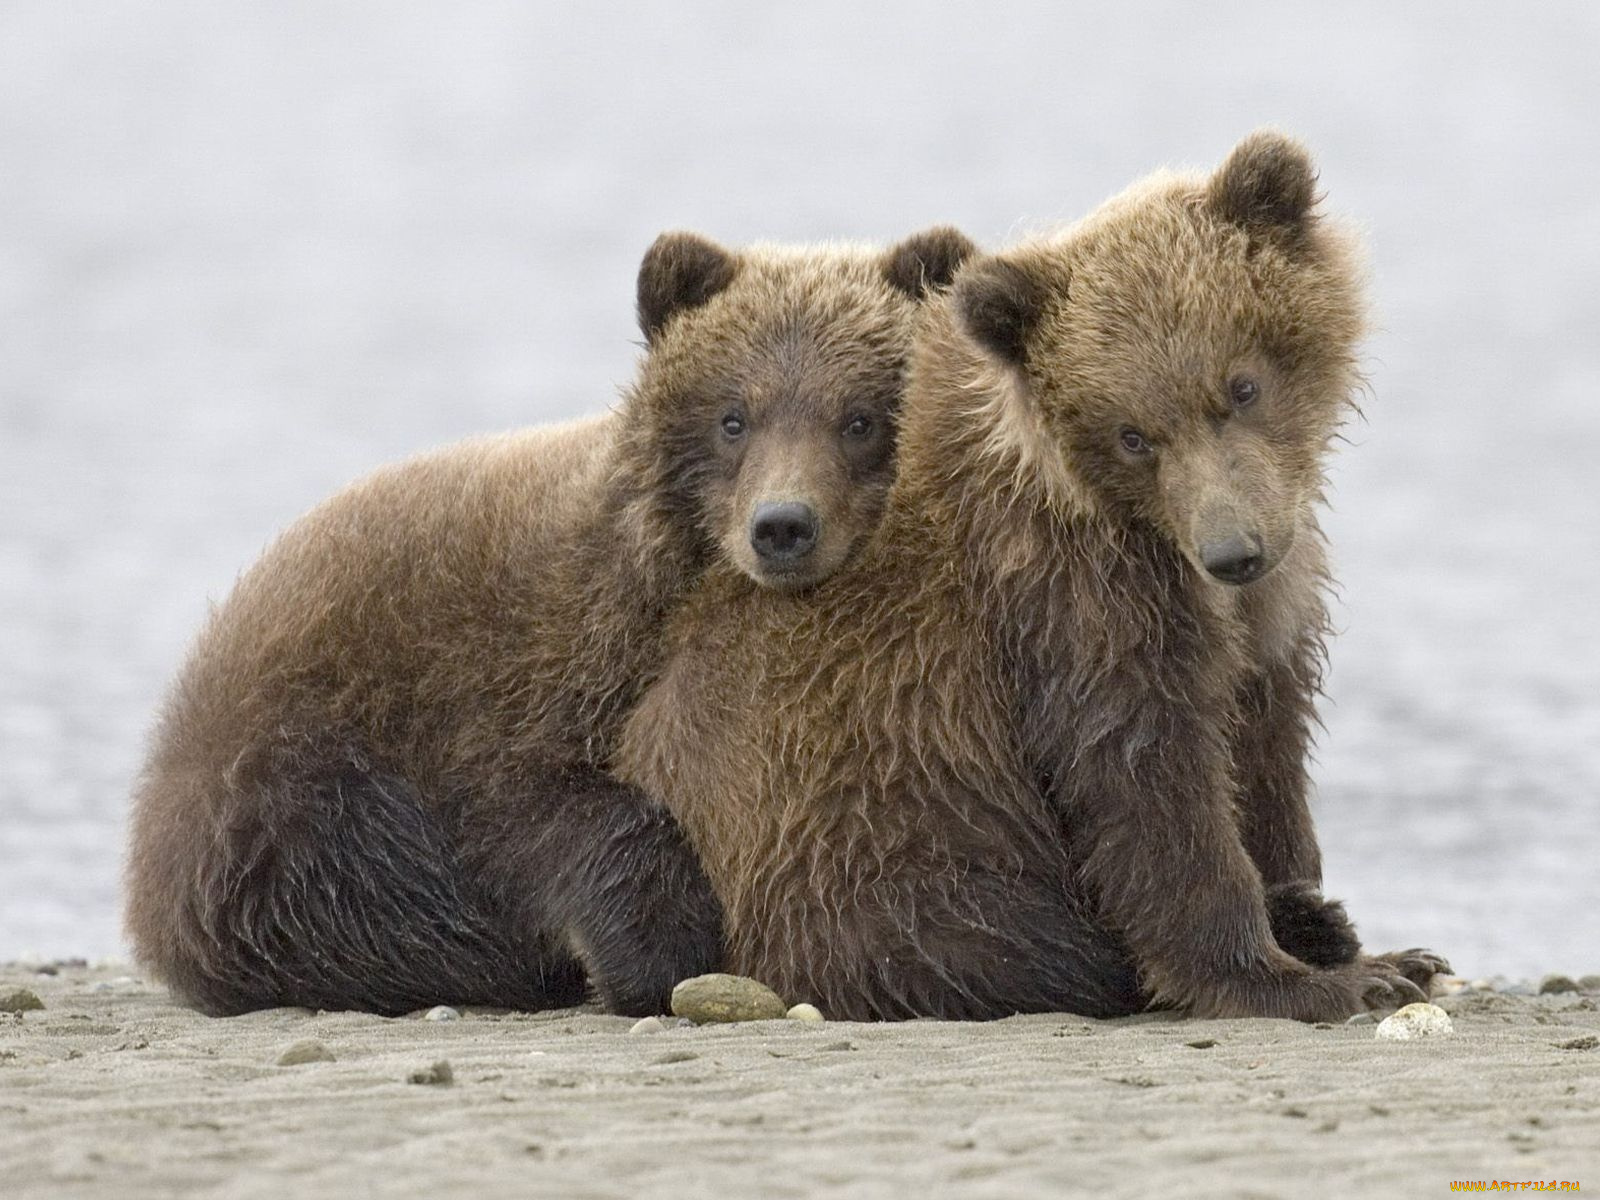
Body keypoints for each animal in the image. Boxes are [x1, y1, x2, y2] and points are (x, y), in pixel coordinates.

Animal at [128, 224, 972, 1017]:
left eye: (859, 418)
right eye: (733, 417)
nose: (783, 525)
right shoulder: (512, 677)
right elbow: (543, 815)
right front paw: (659, 952)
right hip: (282, 787)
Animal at [617, 133, 1459, 1024]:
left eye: (1242, 384)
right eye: (1133, 434)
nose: (1233, 549)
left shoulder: (1271, 605)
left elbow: (1265, 746)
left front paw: (1351, 930)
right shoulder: (1070, 595)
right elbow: (1148, 781)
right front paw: (1312, 976)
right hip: (863, 846)